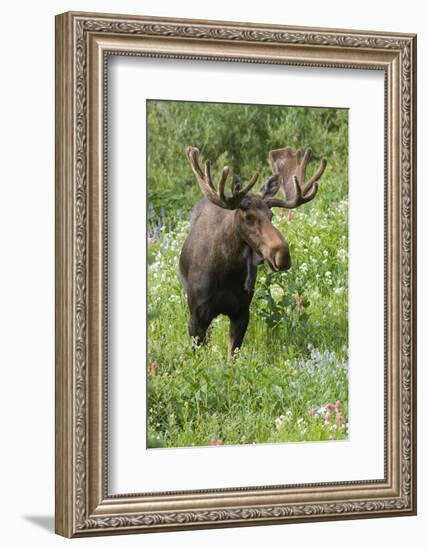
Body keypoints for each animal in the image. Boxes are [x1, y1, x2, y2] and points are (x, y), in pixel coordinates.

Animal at [180, 146, 328, 358]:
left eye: (271, 215)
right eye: (248, 217)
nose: (283, 255)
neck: (227, 274)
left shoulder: (242, 312)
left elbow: (232, 356)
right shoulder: (197, 315)